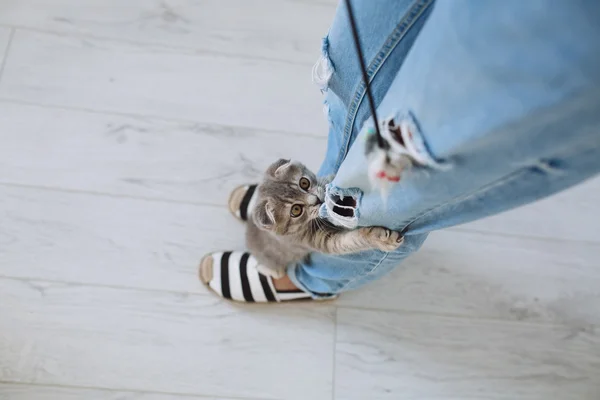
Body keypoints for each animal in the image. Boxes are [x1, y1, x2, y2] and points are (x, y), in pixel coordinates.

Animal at [244, 159, 404, 278]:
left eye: (304, 183)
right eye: (296, 210)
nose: (316, 200)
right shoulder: (313, 240)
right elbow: (350, 240)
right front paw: (381, 239)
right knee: (278, 273)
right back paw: (263, 268)